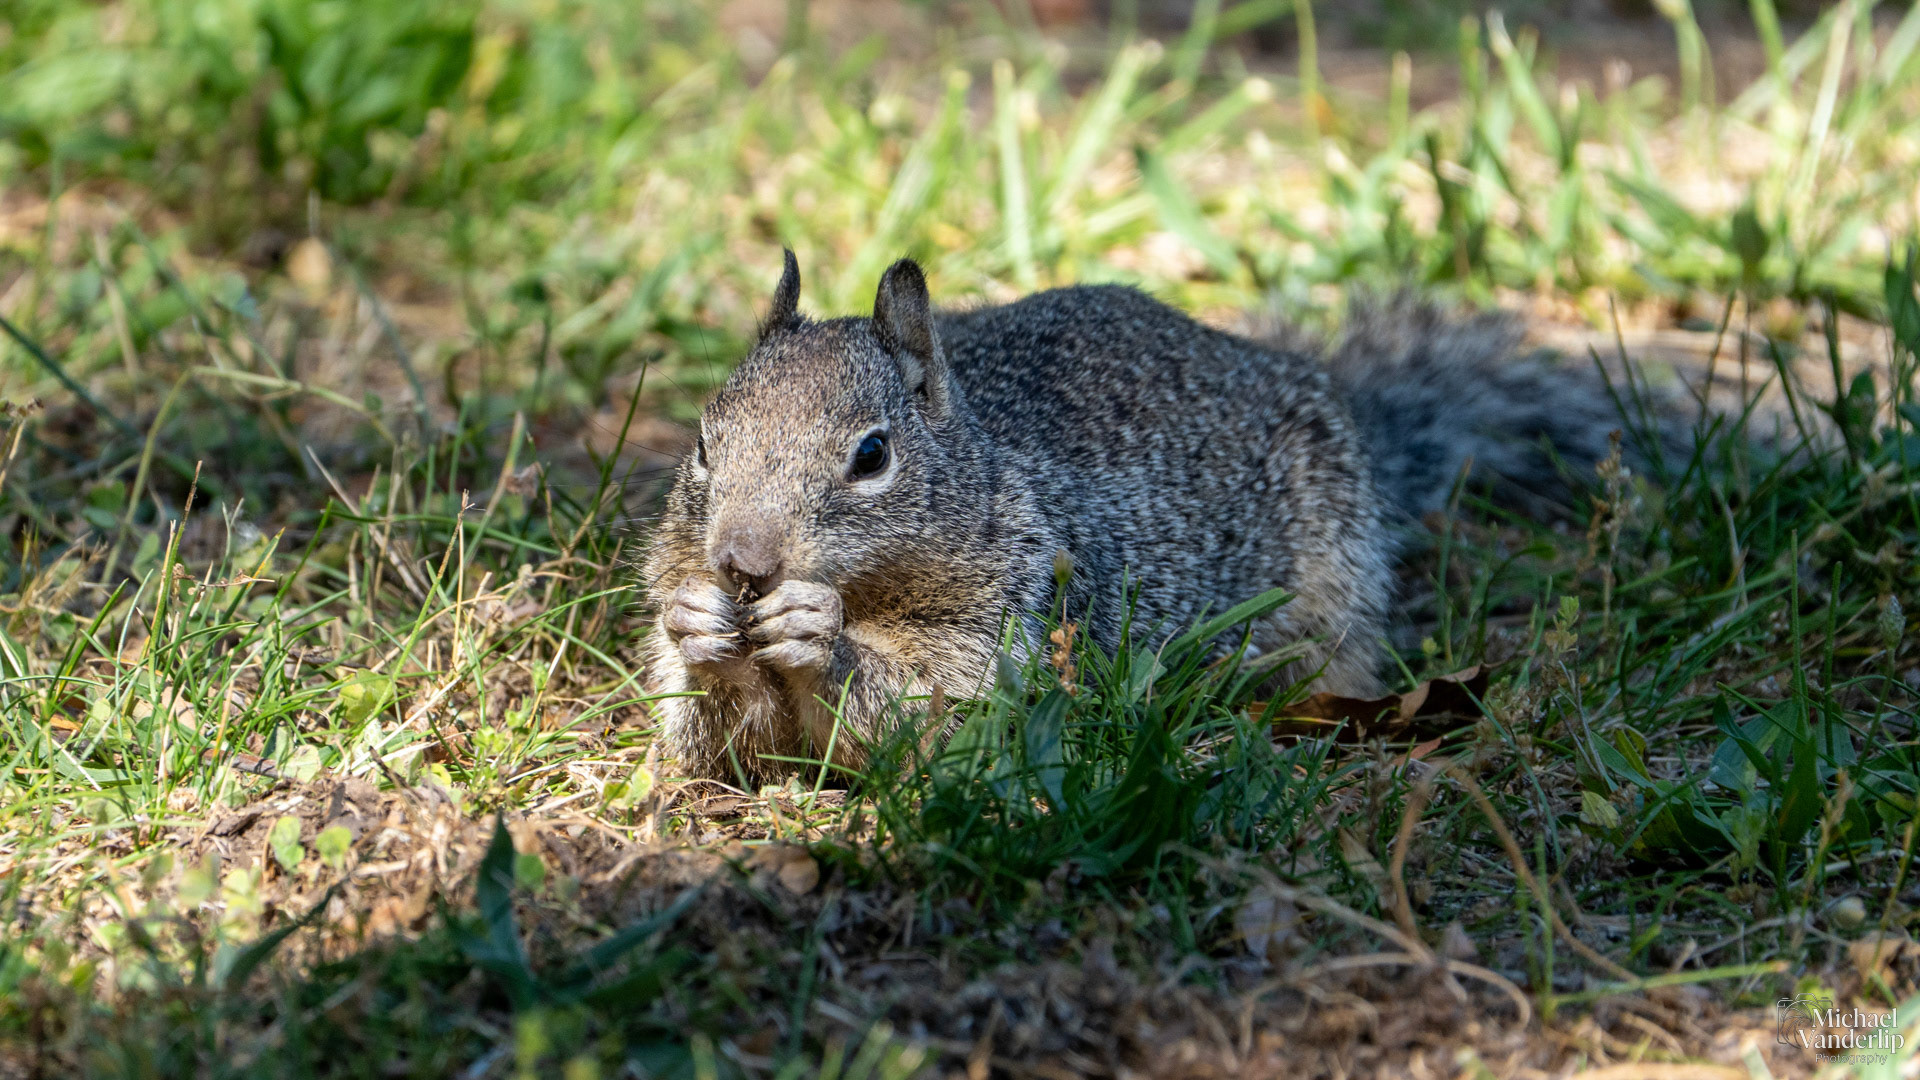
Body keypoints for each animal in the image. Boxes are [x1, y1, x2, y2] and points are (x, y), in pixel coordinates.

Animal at [643, 251, 1671, 783]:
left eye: (871, 456)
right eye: (702, 443)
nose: (742, 564)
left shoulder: (1017, 613)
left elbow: (937, 715)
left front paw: (819, 634)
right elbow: (713, 746)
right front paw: (696, 627)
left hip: (1332, 582)